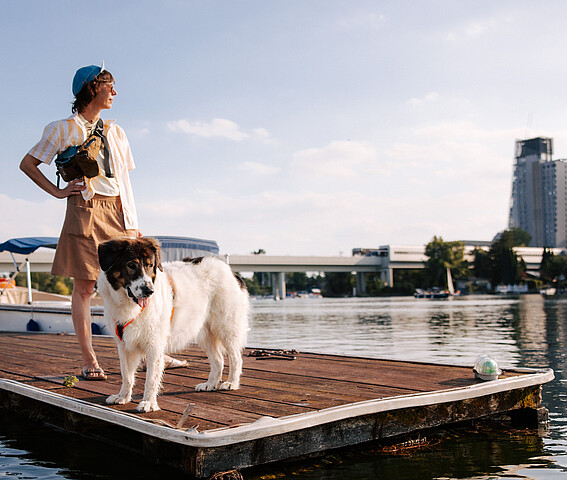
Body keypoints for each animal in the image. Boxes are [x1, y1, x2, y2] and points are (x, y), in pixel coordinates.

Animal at [97, 236, 248, 412]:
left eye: (150, 265)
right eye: (131, 265)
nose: (149, 291)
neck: (129, 305)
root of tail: (231, 271)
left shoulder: (154, 345)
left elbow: (151, 378)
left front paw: (149, 402)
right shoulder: (124, 346)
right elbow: (126, 375)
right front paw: (123, 397)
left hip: (225, 327)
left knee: (236, 357)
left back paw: (232, 383)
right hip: (204, 333)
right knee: (218, 359)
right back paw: (210, 384)